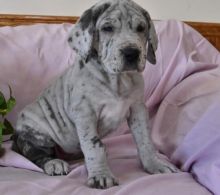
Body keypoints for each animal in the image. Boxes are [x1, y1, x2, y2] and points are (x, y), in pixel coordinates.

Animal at [11, 0, 179, 190]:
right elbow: (94, 146)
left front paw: (154, 164)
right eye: (107, 28)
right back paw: (54, 163)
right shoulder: (85, 114)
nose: (131, 53)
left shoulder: (138, 109)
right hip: (37, 130)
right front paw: (101, 175)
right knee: (36, 154)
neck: (117, 80)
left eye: (141, 28)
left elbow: (145, 140)